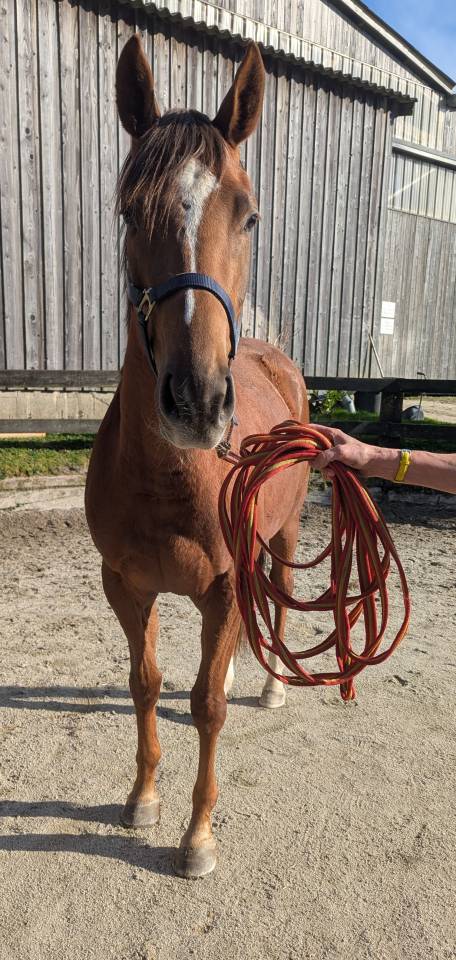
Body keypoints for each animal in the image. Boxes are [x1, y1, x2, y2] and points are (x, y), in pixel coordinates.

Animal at [85, 35, 310, 878]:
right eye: (127, 211)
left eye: (248, 216)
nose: (196, 401)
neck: (176, 481)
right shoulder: (126, 585)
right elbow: (146, 683)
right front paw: (143, 797)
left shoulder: (225, 584)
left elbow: (208, 705)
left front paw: (198, 836)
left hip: (284, 535)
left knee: (279, 596)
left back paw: (270, 685)